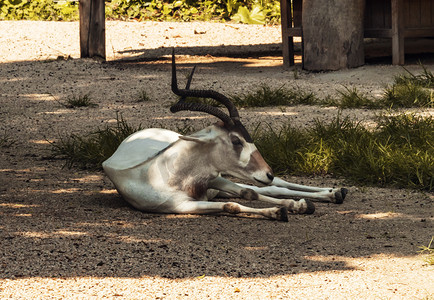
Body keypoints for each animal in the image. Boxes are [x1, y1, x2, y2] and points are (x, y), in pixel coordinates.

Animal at [102, 51, 350, 221]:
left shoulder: (214, 177)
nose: (267, 172)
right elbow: (234, 204)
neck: (165, 174)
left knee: (273, 185)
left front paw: (297, 205)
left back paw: (334, 193)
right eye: (235, 140)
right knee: (264, 188)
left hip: (224, 177)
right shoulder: (182, 206)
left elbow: (250, 192)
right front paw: (280, 210)